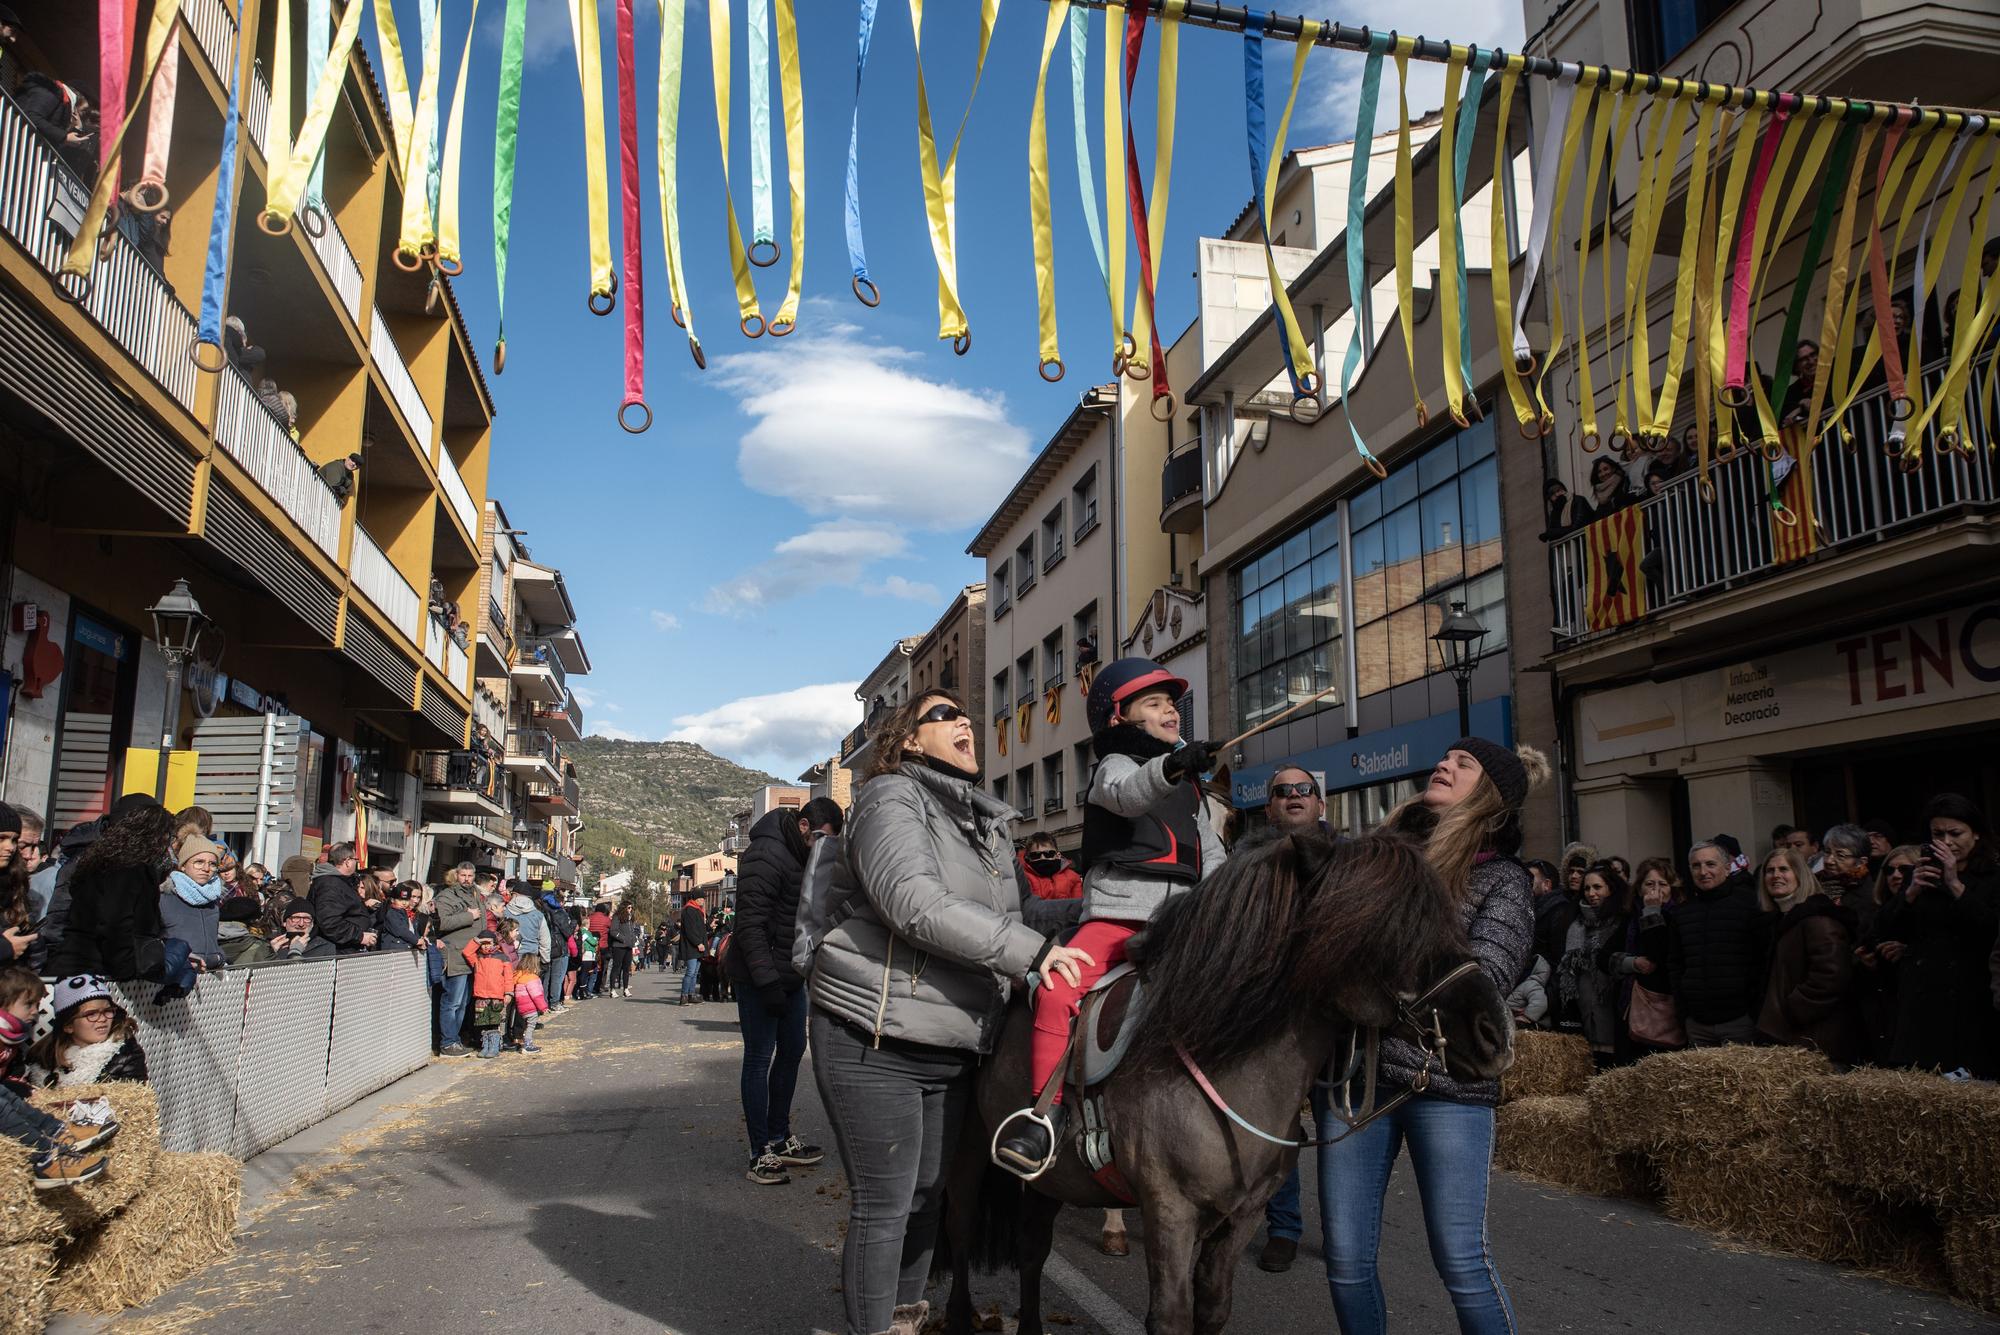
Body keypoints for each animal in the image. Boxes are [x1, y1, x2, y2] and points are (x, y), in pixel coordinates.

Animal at [936, 827, 1512, 1327]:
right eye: (1385, 925)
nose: (1495, 1034)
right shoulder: (1169, 1211)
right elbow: (1170, 1316)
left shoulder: (1243, 1216)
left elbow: (1213, 1306)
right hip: (968, 1148)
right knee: (959, 1226)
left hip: (1052, 1178)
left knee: (1032, 1249)